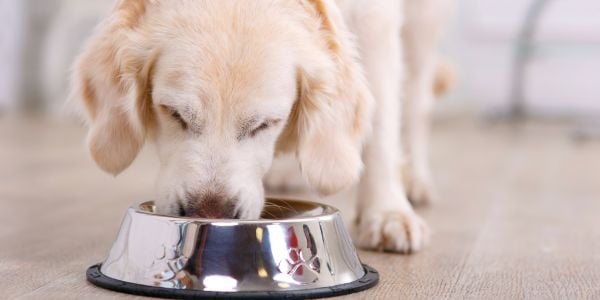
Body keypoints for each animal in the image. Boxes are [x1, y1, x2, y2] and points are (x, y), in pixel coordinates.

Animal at [70, 0, 452, 253]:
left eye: (266, 124)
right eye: (174, 113)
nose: (210, 214)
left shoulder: (376, 18)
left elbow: (382, 123)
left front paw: (387, 212)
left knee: (416, 101)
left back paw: (414, 180)